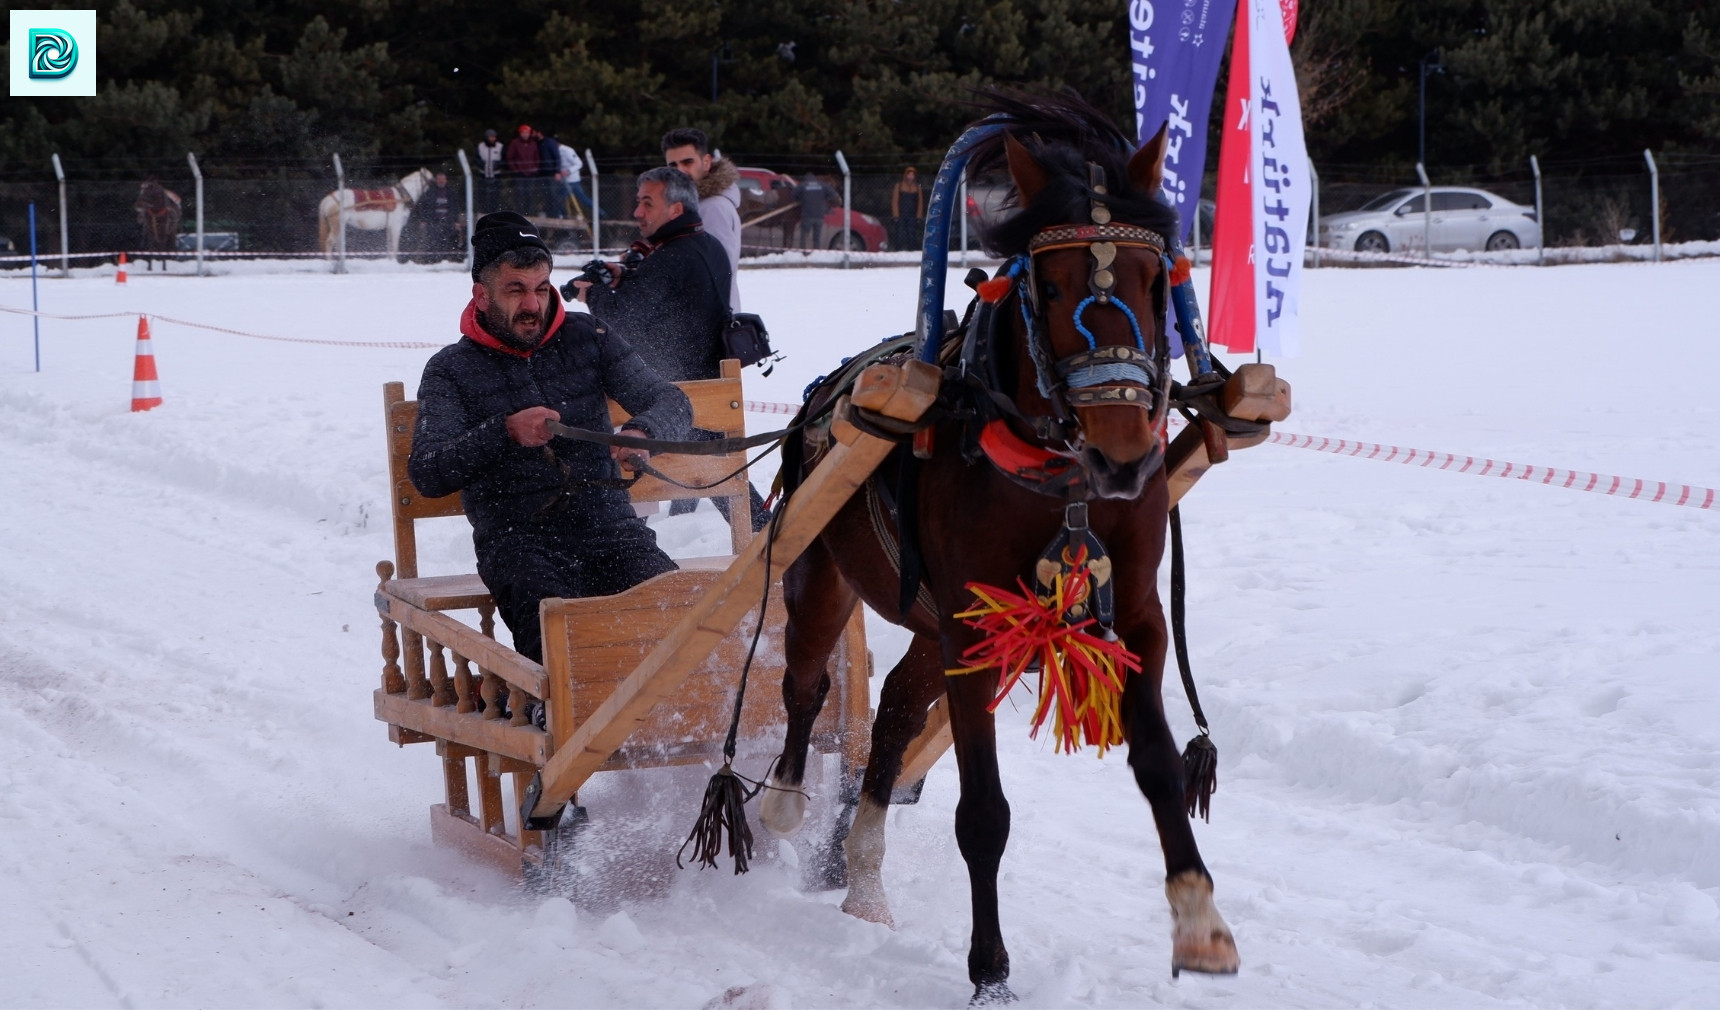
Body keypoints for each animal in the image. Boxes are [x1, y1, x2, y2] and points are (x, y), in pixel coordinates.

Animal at [763, 92, 1238, 1004]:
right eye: (1047, 285)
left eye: (1155, 279)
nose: (1124, 454)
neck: (1063, 478)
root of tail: (822, 395)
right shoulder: (975, 629)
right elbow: (982, 814)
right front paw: (990, 970)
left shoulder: (1134, 613)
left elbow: (1160, 766)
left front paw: (1199, 921)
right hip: (820, 575)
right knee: (804, 685)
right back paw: (782, 804)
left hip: (928, 625)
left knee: (895, 713)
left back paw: (861, 872)